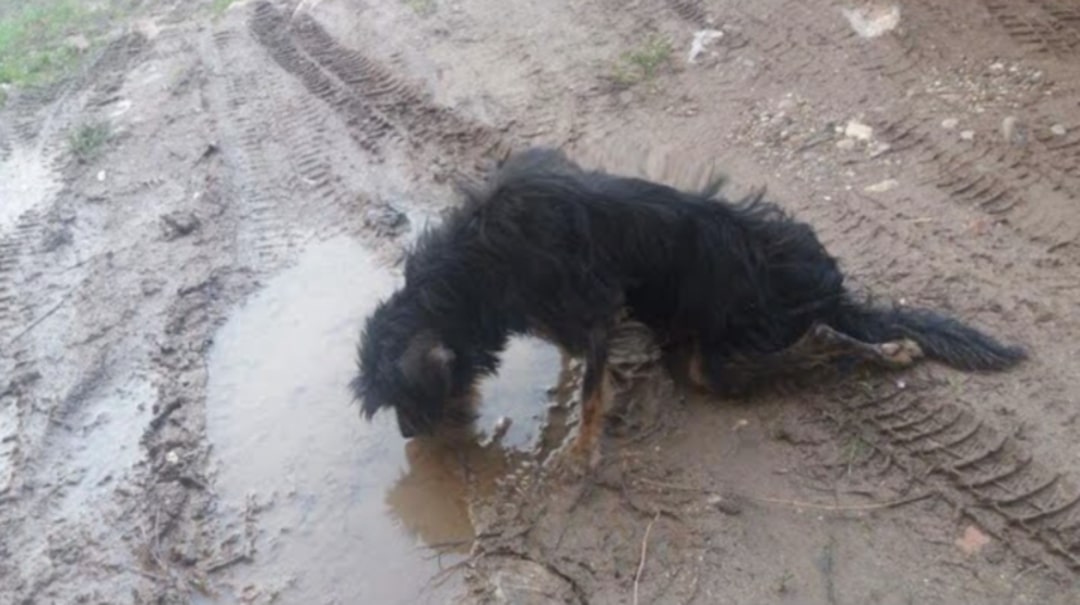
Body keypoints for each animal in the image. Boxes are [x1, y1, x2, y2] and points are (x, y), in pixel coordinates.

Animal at [349, 148, 1023, 468]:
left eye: (407, 400)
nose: (408, 436)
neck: (470, 270)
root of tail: (829, 290)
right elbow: (578, 369)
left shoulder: (595, 307)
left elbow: (591, 392)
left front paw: (580, 453)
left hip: (730, 343)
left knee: (814, 340)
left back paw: (878, 348)